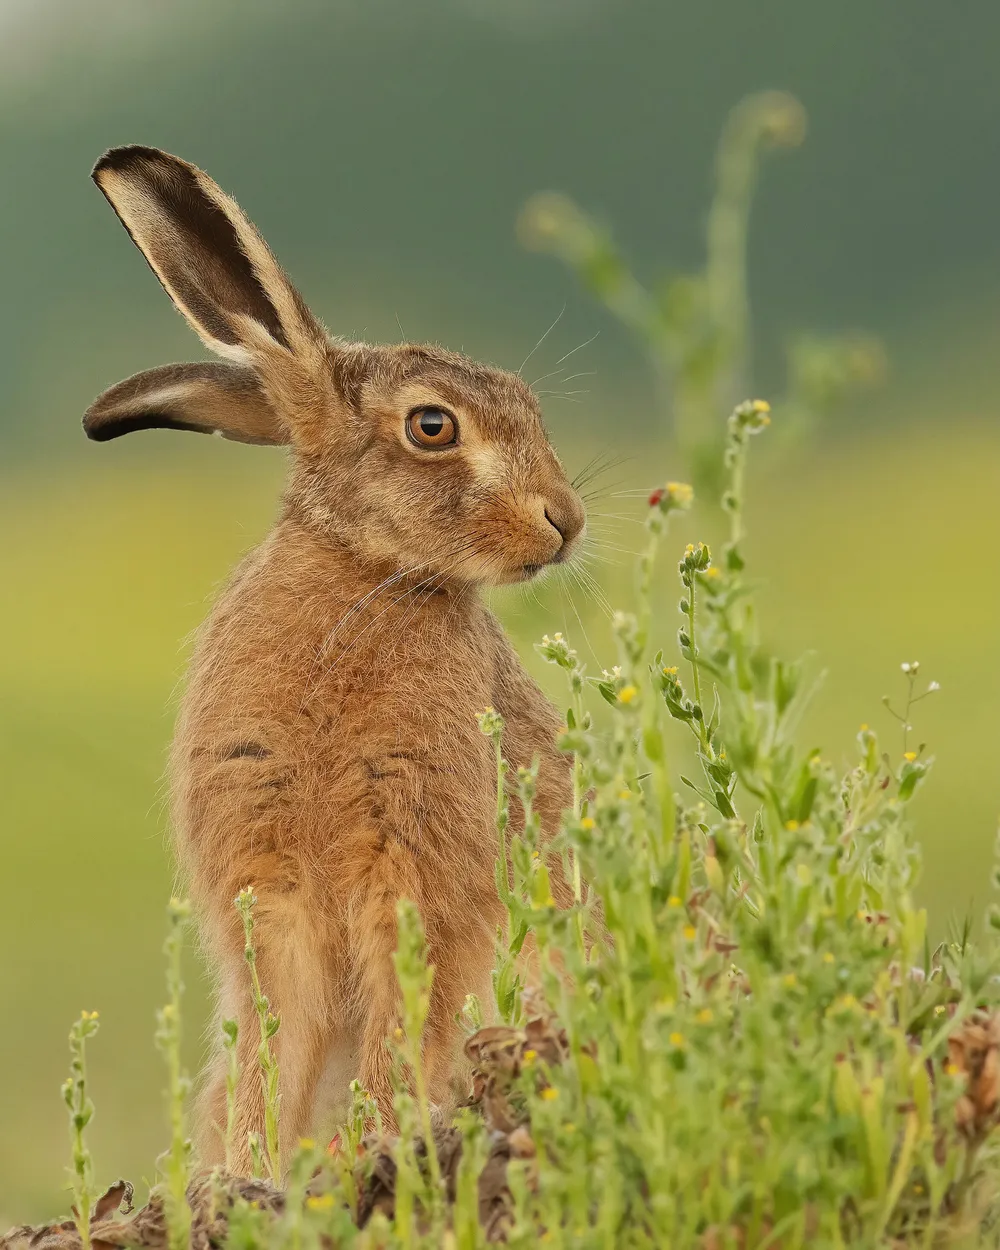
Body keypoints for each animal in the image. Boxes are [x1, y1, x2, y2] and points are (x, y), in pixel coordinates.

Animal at [82, 146, 586, 1173]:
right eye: (433, 427)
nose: (565, 522)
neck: (365, 576)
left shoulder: (418, 877)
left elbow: (404, 1020)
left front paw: (374, 1141)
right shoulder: (270, 891)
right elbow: (277, 1038)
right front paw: (251, 1169)